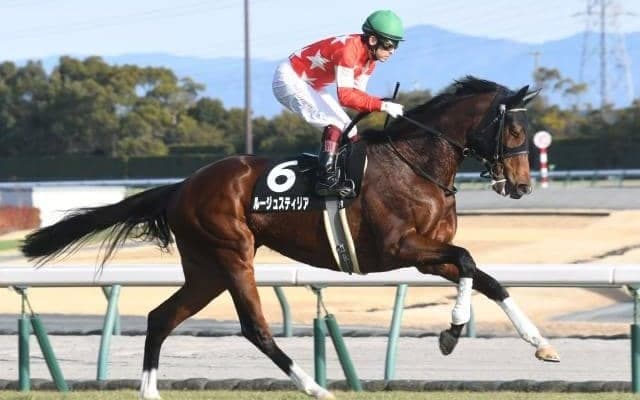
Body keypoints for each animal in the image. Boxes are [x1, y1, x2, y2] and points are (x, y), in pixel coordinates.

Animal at [21, 76, 559, 400]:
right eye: (513, 129)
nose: (521, 186)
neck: (417, 164)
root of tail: (182, 186)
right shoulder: (398, 249)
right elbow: (468, 262)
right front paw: (451, 332)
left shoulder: (426, 255)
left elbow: (486, 278)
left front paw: (540, 345)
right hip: (232, 255)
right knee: (254, 328)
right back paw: (316, 387)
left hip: (206, 269)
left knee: (160, 317)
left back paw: (150, 391)